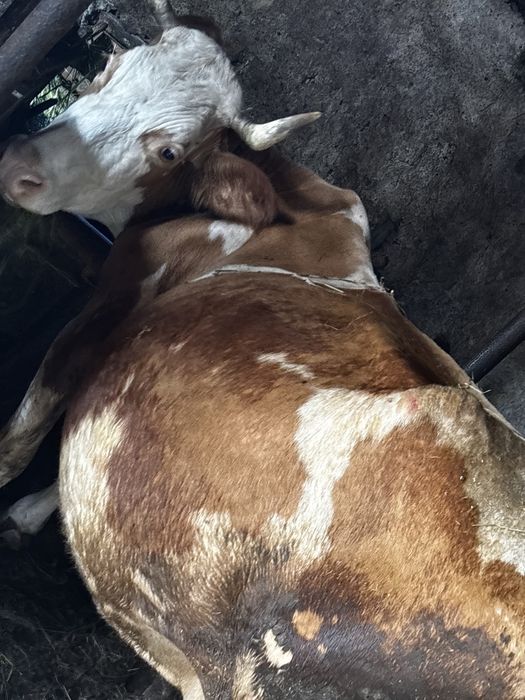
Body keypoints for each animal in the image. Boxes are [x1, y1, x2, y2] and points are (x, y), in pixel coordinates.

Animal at [0, 12, 524, 700]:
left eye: (170, 152)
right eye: (112, 63)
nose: (20, 164)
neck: (297, 202)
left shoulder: (122, 291)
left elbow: (28, 423)